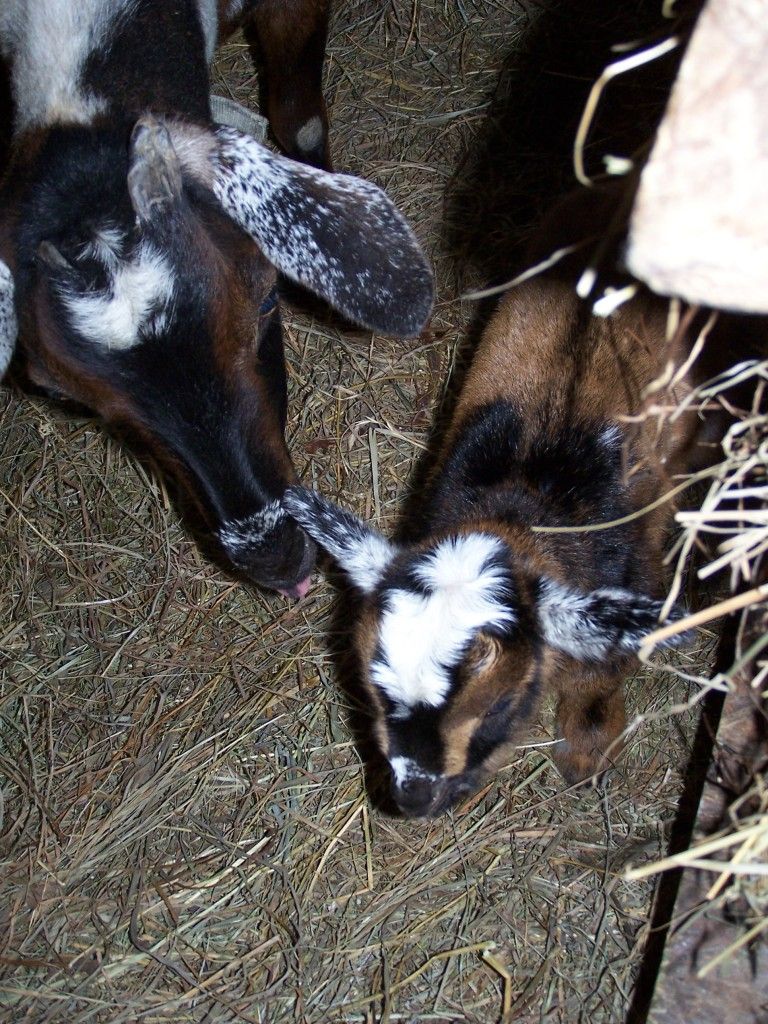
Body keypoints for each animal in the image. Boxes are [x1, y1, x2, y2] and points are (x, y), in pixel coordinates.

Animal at [283, 226, 753, 815]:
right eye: (374, 691)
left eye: (499, 706)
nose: (415, 798)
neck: (523, 503)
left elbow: (598, 680)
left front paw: (587, 758)